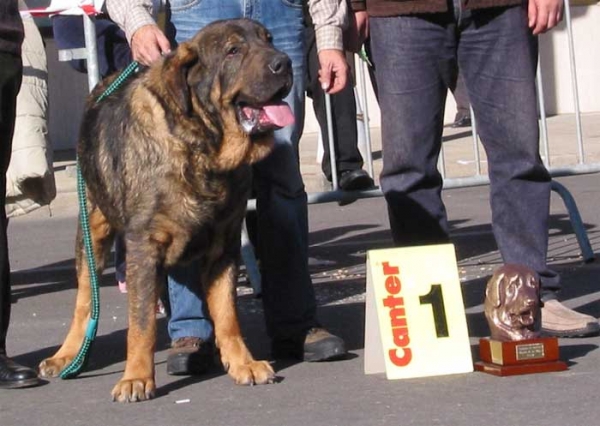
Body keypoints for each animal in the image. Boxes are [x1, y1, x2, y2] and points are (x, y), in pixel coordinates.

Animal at [36, 17, 294, 402]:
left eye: (269, 39)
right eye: (233, 50)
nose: (284, 63)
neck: (203, 150)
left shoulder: (225, 246)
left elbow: (227, 315)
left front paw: (242, 363)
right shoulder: (144, 246)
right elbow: (140, 324)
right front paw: (136, 377)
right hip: (92, 230)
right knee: (85, 299)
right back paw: (67, 354)